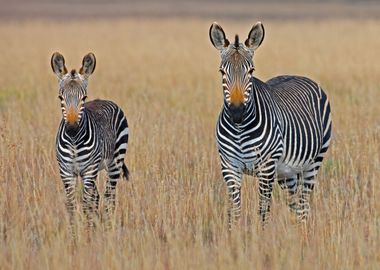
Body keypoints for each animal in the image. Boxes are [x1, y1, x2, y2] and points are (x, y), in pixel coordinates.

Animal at [51, 51, 130, 229]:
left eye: (84, 97)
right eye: (60, 97)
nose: (72, 129)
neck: (74, 142)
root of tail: (103, 99)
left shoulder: (88, 171)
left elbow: (86, 204)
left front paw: (88, 233)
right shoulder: (66, 172)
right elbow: (72, 205)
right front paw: (74, 233)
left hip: (114, 163)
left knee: (109, 197)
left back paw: (108, 227)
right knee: (98, 197)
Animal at [209, 22, 332, 227]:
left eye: (251, 71)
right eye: (222, 72)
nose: (236, 113)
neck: (240, 130)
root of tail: (297, 75)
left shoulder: (266, 168)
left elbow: (263, 211)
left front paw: (260, 235)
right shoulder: (229, 166)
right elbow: (234, 212)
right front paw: (233, 235)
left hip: (313, 162)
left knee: (304, 205)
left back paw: (303, 233)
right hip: (286, 172)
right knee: (295, 204)